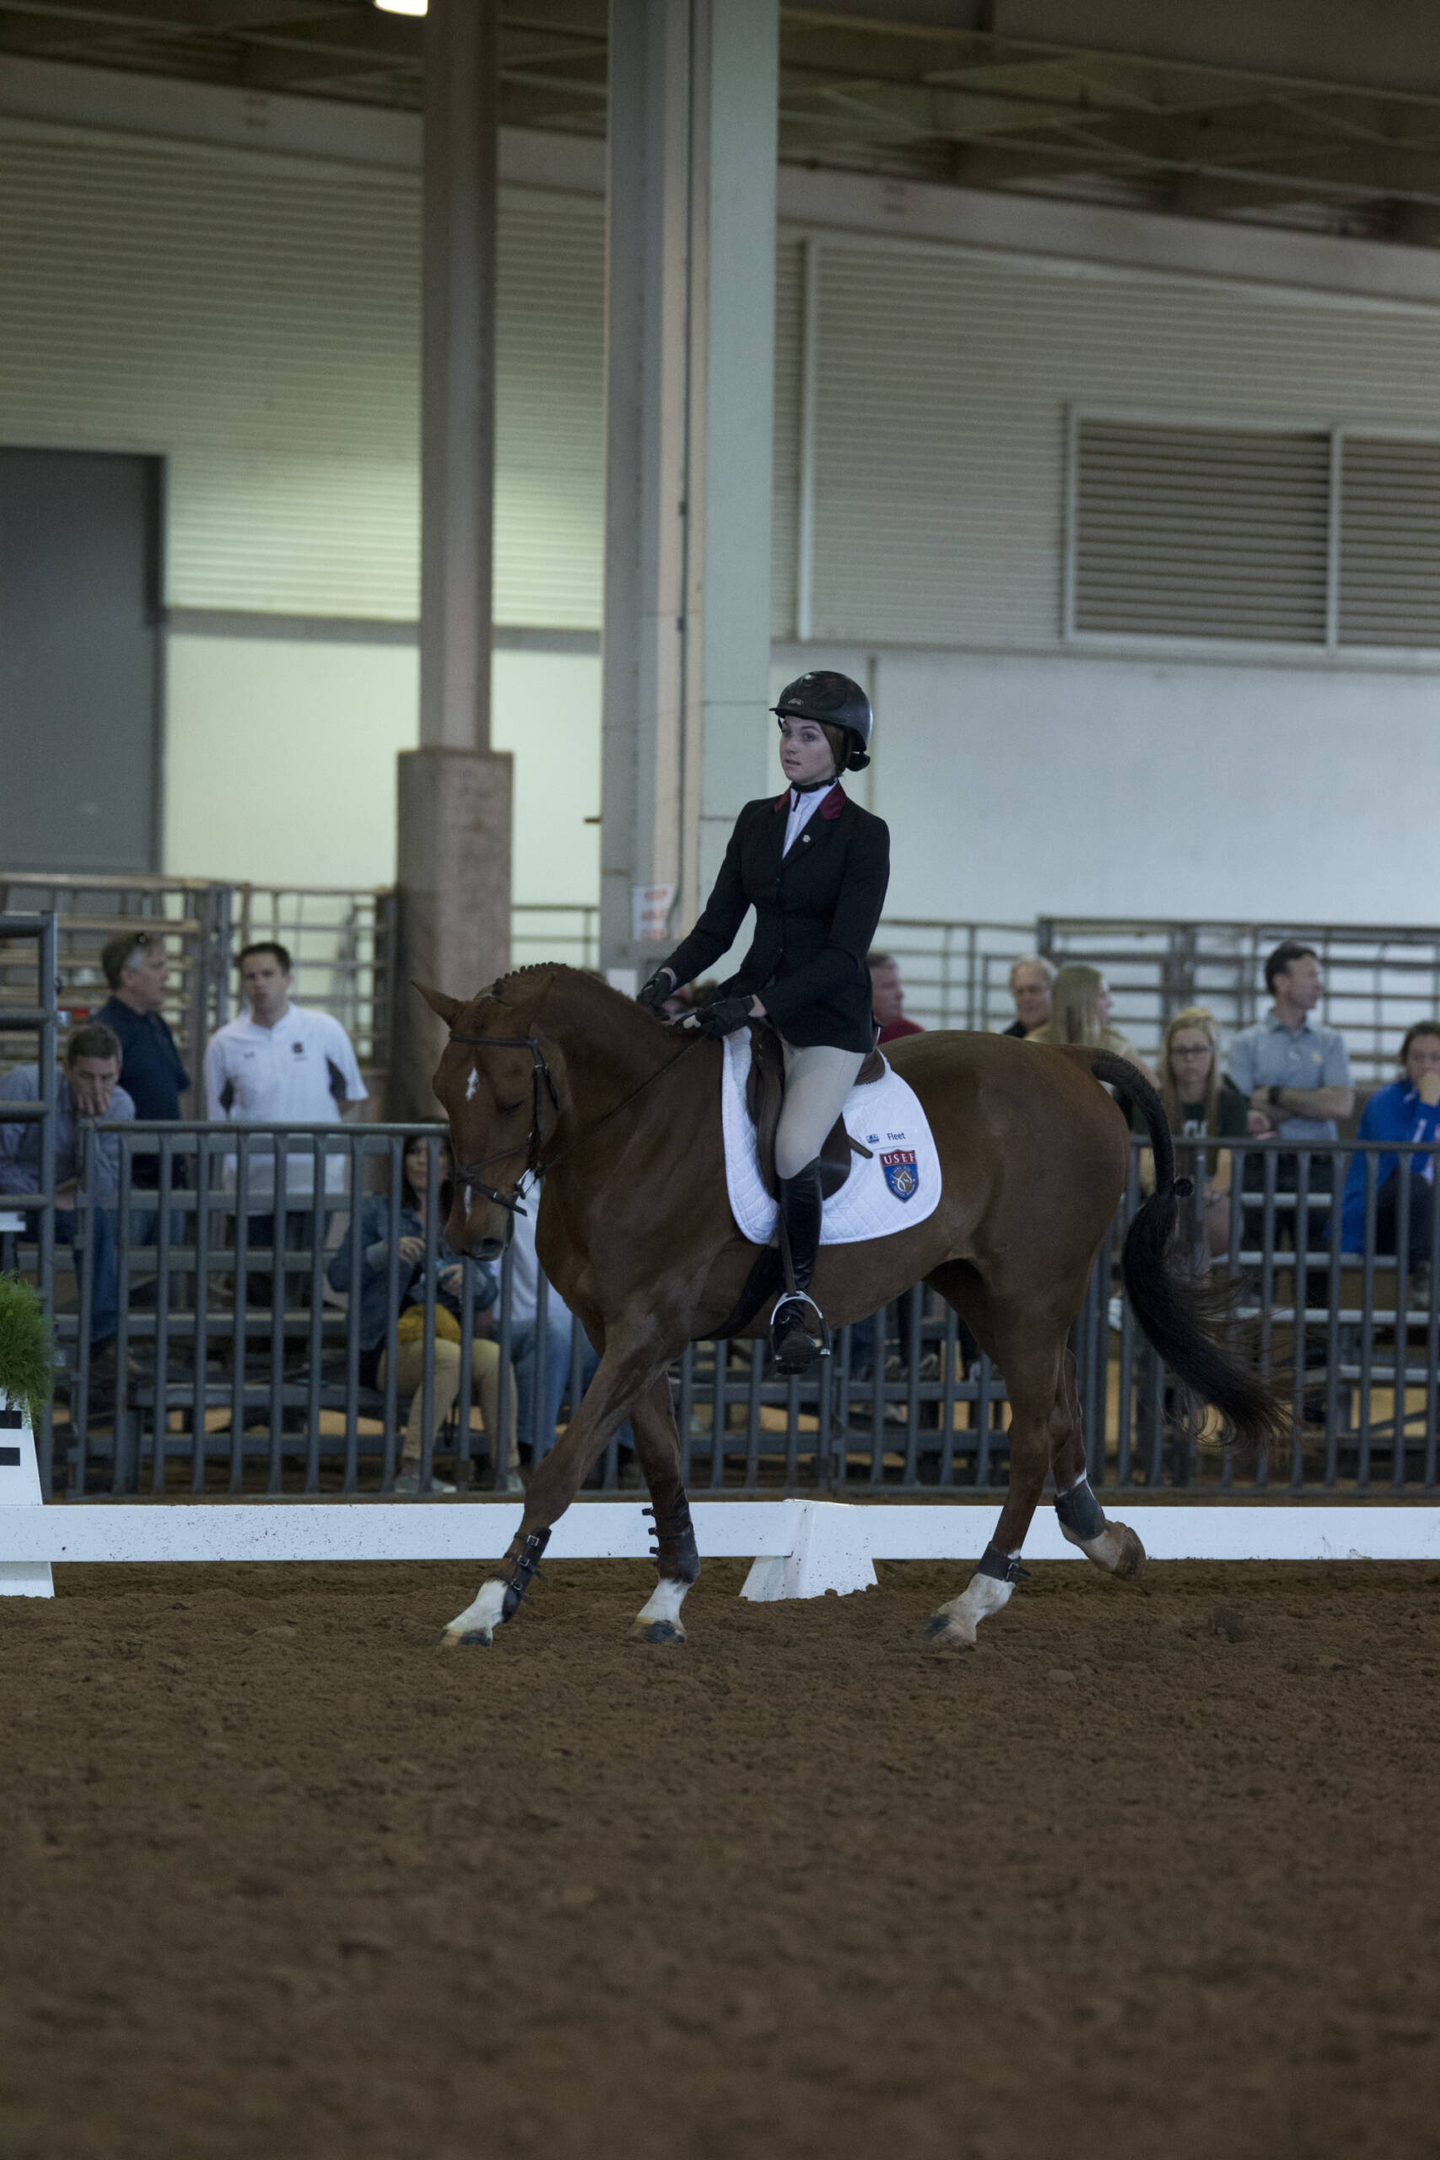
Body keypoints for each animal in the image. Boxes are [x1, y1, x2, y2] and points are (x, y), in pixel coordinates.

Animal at [416, 967, 1286, 1650]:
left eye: (508, 1098)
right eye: (443, 1092)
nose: (473, 1236)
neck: (633, 1128)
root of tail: (1065, 1057)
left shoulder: (645, 1327)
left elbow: (558, 1471)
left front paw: (486, 1608)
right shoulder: (623, 1334)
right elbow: (659, 1459)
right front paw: (668, 1597)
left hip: (1031, 1294)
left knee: (1035, 1435)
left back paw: (973, 1601)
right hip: (986, 1293)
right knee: (1064, 1410)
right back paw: (1104, 1542)